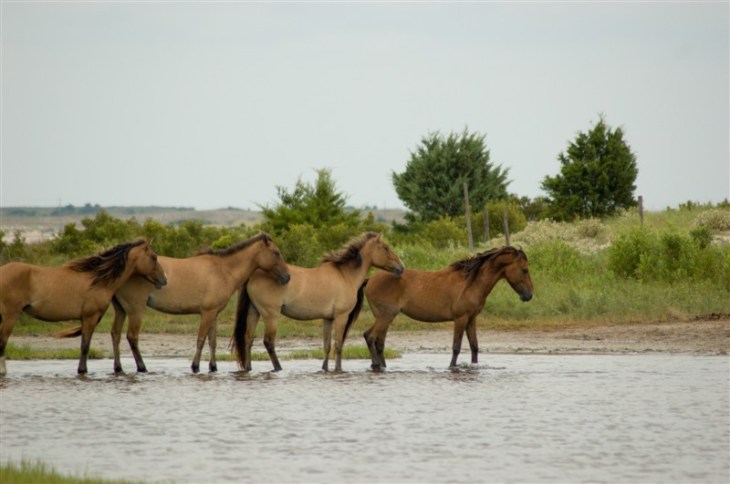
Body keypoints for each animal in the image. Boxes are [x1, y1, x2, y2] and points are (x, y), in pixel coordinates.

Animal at [0, 240, 167, 375]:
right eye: (153, 257)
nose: (164, 280)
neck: (98, 280)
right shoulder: (89, 318)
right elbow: (85, 346)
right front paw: (82, 371)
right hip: (10, 316)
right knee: (3, 342)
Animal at [59, 232, 291, 373]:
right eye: (276, 252)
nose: (287, 277)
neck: (223, 269)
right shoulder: (206, 313)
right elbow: (200, 340)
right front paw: (195, 367)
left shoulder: (214, 313)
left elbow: (213, 341)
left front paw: (213, 368)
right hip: (135, 309)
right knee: (131, 337)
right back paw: (142, 368)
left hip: (121, 309)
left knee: (115, 335)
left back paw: (119, 369)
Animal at [231, 232, 404, 373]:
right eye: (386, 248)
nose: (401, 267)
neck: (345, 275)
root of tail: (254, 274)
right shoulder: (341, 316)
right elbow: (339, 344)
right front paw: (338, 370)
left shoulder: (328, 319)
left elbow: (327, 345)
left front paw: (325, 369)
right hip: (271, 315)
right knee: (268, 342)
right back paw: (278, 368)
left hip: (254, 311)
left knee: (248, 339)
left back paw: (248, 368)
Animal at [363, 246, 533, 370]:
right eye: (525, 270)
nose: (529, 295)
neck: (471, 283)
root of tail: (370, 279)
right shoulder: (460, 319)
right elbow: (456, 347)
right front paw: (452, 367)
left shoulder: (471, 319)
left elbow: (474, 346)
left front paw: (474, 366)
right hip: (385, 316)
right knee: (369, 336)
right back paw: (376, 365)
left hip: (385, 317)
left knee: (379, 343)